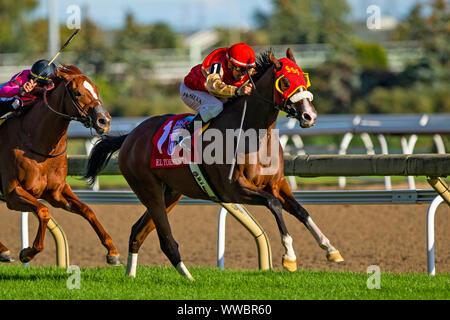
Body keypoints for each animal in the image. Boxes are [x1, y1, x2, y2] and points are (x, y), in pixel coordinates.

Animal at [0, 64, 121, 264]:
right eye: (77, 93)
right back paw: (4, 250)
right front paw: (28, 252)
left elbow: (87, 210)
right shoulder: (12, 193)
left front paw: (113, 251)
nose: (104, 121)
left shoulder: (56, 191)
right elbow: (43, 212)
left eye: (96, 89)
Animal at [86, 48, 342, 278]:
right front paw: (289, 257)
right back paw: (188, 276)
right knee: (166, 240)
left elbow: (301, 211)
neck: (252, 133)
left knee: (137, 231)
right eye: (286, 81)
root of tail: (130, 136)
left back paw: (131, 275)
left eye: (304, 78)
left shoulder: (278, 184)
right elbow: (274, 204)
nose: (310, 116)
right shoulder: (234, 188)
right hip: (149, 190)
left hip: (170, 193)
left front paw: (331, 249)